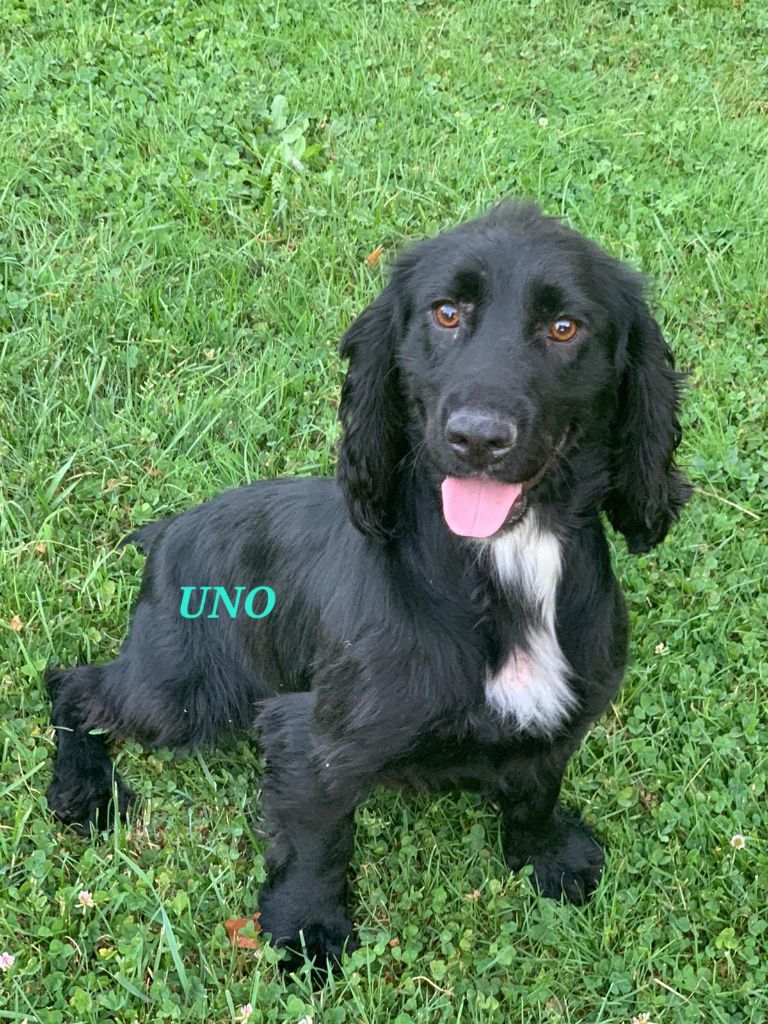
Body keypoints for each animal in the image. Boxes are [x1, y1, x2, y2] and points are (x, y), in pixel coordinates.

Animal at [47, 202, 691, 969]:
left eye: (565, 327)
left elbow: (537, 785)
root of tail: (168, 530)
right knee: (71, 683)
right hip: (184, 692)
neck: (504, 558)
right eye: (446, 313)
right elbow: (317, 840)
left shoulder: (563, 714)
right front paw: (307, 931)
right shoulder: (311, 736)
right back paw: (83, 788)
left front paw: (547, 855)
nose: (478, 437)